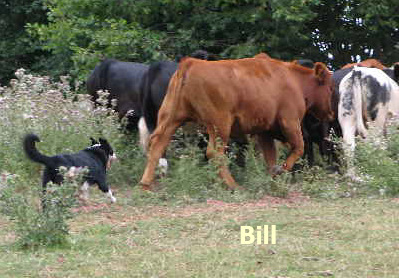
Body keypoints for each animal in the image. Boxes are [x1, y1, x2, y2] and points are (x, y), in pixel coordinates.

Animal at [141, 53, 334, 190]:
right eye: (330, 88)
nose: (331, 113)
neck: (293, 80)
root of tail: (191, 63)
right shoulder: (290, 121)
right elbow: (299, 147)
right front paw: (280, 171)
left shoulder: (264, 131)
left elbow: (270, 156)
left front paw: (273, 179)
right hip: (220, 125)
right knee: (214, 153)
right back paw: (233, 185)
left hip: (171, 118)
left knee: (157, 144)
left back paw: (146, 184)